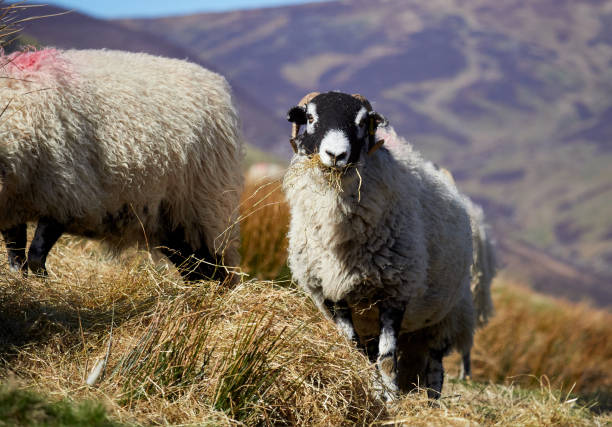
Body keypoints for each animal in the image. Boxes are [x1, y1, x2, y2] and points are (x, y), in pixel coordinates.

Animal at [0, 48, 244, 282]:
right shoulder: (14, 207)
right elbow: (16, 258)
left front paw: (44, 282)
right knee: (196, 268)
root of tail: (218, 85)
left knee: (218, 269)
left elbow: (35, 256)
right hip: (174, 223)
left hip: (205, 209)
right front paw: (21, 282)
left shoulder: (67, 198)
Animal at [284, 91, 476, 402]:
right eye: (310, 118)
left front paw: (391, 398)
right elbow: (355, 350)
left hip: (446, 317)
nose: (336, 155)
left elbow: (387, 358)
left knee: (435, 366)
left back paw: (431, 402)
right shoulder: (333, 293)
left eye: (363, 122)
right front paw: (374, 391)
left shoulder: (395, 291)